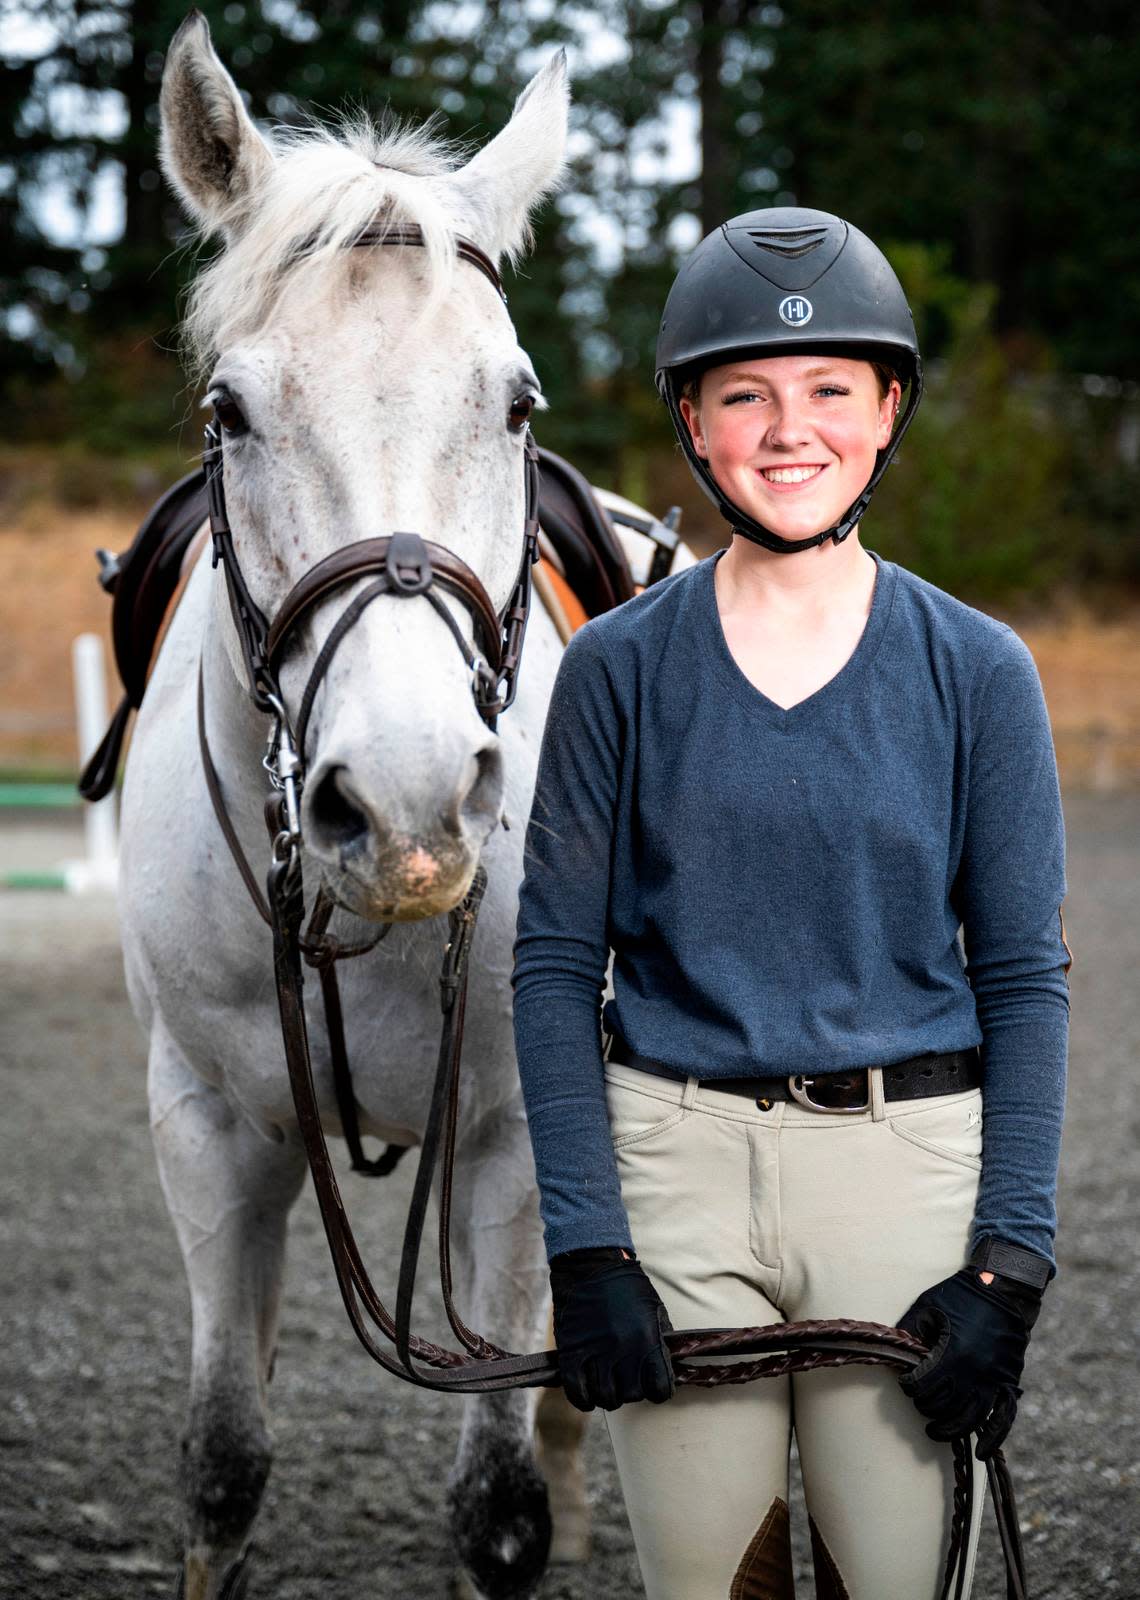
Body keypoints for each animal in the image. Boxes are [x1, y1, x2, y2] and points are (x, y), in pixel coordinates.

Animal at [122, 15, 589, 1600]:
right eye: (230, 410)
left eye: (515, 402)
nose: (407, 803)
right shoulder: (207, 1127)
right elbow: (218, 1467)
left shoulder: (516, 1143)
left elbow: (501, 1505)